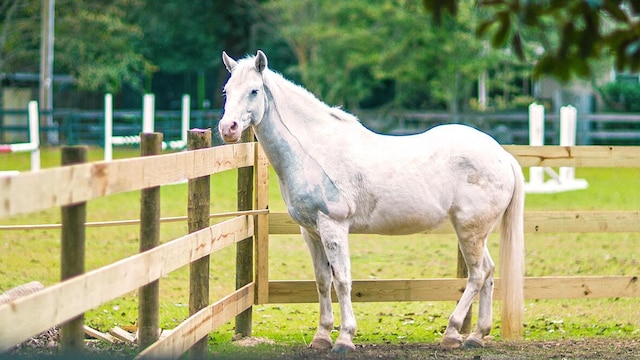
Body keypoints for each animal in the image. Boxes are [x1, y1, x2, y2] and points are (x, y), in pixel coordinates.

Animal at [218, 50, 524, 352]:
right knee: (488, 272)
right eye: (227, 91)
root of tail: (503, 156)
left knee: (477, 275)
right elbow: (322, 281)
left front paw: (344, 339)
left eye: (254, 91)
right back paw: (476, 336)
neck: (313, 152)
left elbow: (342, 281)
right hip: (474, 232)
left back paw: (452, 333)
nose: (228, 128)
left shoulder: (334, 227)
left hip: (470, 230)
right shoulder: (311, 232)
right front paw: (322, 336)